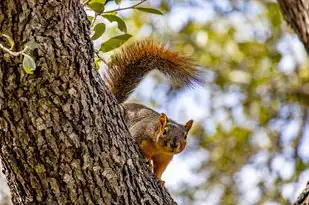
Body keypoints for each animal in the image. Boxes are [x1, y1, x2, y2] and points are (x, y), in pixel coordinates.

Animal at [104, 40, 201, 186]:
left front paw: (160, 180)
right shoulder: (140, 133)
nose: (174, 144)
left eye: (185, 136)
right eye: (164, 131)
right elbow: (140, 147)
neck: (158, 148)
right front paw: (147, 159)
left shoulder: (165, 158)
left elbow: (160, 169)